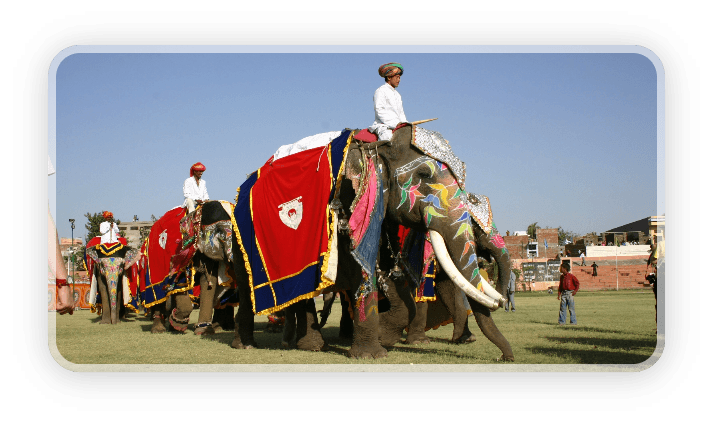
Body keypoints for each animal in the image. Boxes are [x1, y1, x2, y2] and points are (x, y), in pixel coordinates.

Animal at [228, 124, 512, 360]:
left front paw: (385, 336)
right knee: (249, 287)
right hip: (239, 234)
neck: (379, 146)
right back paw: (248, 345)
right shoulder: (350, 199)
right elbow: (361, 267)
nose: (504, 358)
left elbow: (390, 272)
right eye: (423, 174)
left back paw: (310, 345)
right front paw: (373, 353)